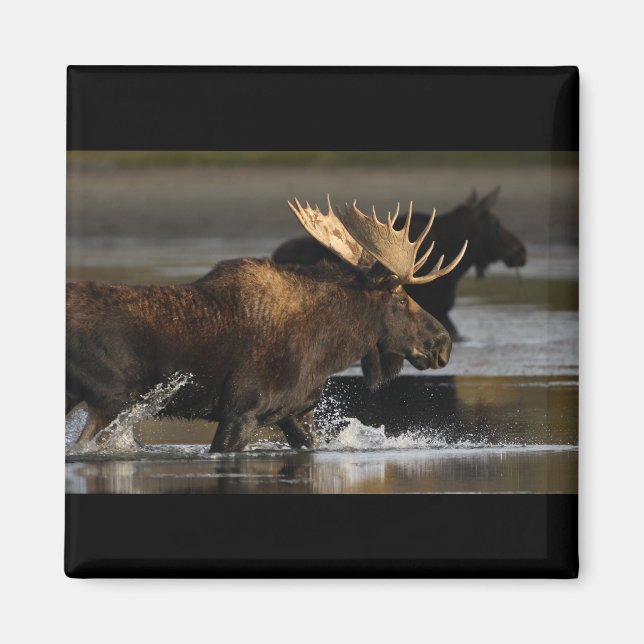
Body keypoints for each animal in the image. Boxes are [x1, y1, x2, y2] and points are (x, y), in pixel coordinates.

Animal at [66, 196, 467, 453]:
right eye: (400, 299)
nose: (443, 344)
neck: (328, 350)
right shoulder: (242, 410)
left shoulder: (296, 414)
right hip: (112, 399)